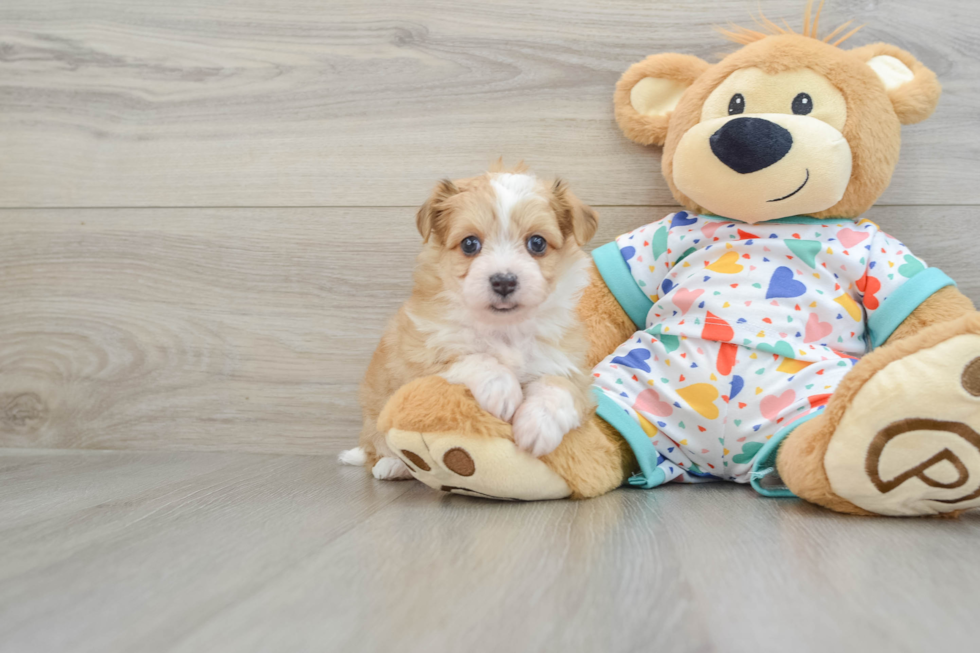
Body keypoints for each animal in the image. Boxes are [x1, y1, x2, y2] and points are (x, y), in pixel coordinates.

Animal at [344, 163, 604, 478]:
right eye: (470, 244)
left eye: (537, 243)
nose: (504, 281)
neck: (504, 330)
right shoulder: (421, 358)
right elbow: (474, 358)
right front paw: (502, 390)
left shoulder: (567, 366)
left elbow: (558, 388)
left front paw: (538, 425)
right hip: (375, 421)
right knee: (375, 449)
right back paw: (392, 464)